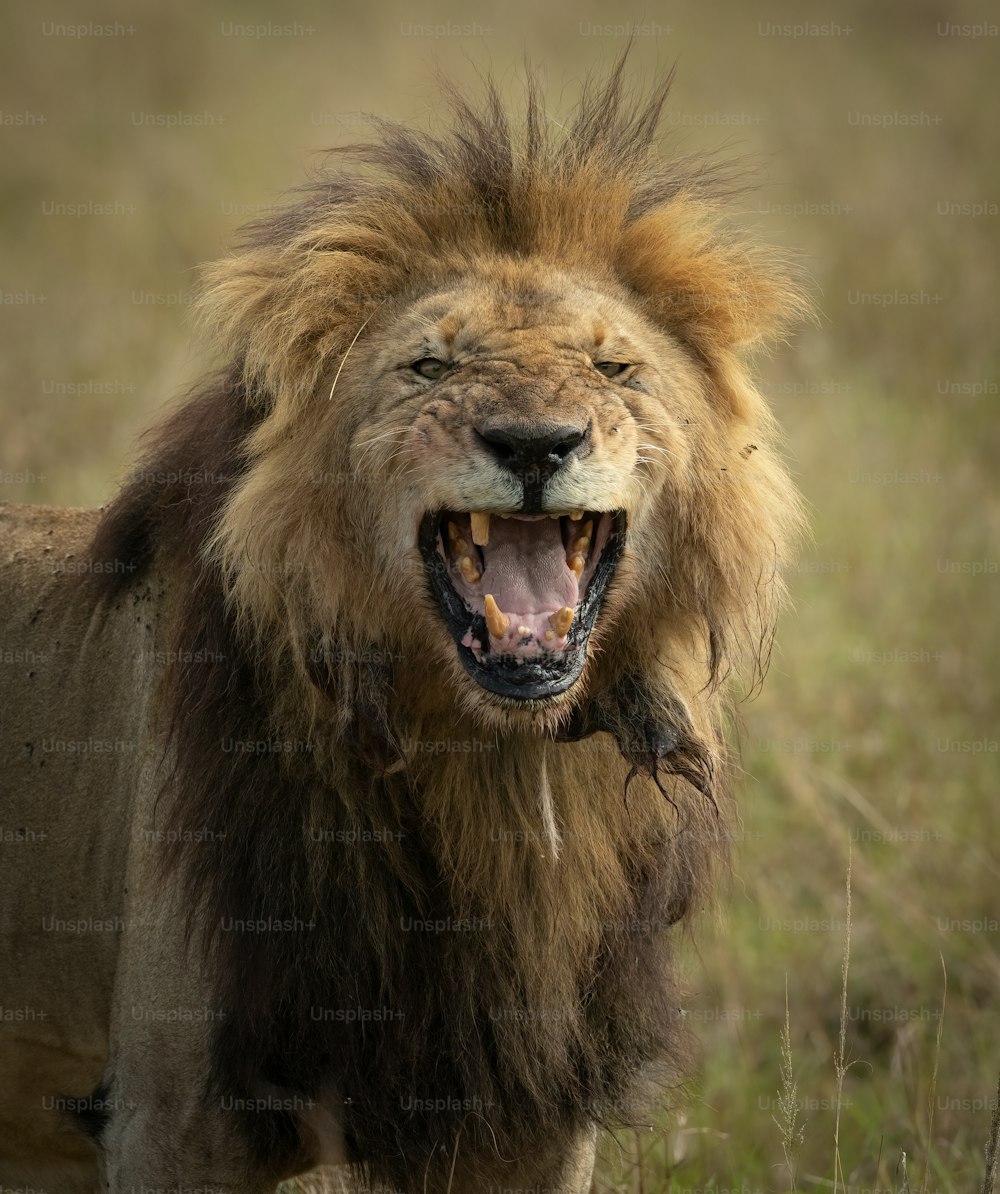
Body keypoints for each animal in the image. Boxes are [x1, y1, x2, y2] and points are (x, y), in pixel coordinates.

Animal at [0, 62, 806, 1194]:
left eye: (613, 370)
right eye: (429, 368)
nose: (533, 443)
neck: (495, 767)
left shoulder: (531, 1115)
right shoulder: (174, 1111)